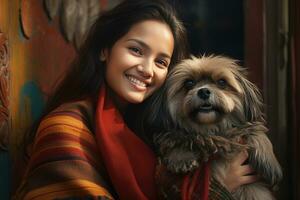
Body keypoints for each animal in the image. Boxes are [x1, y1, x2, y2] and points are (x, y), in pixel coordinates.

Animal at [144, 55, 282, 199]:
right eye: (189, 83)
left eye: (222, 82)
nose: (204, 91)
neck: (210, 132)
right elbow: (177, 137)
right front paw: (181, 156)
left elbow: (256, 130)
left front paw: (268, 161)